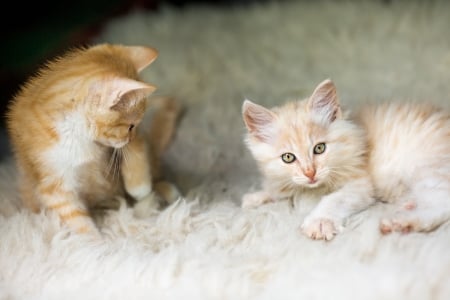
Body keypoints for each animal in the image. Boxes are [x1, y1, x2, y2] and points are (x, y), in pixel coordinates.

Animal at [6, 42, 180, 234]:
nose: (130, 136)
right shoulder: (52, 182)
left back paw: (163, 190)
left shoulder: (131, 139)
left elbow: (134, 150)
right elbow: (74, 217)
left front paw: (139, 186)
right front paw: (96, 241)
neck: (78, 134)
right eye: (130, 126)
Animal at [243, 78, 450, 240]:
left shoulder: (361, 184)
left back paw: (401, 221)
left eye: (319, 148)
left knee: (441, 202)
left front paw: (319, 222)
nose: (310, 173)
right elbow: (280, 188)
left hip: (428, 169)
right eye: (288, 157)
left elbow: (334, 199)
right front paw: (256, 197)